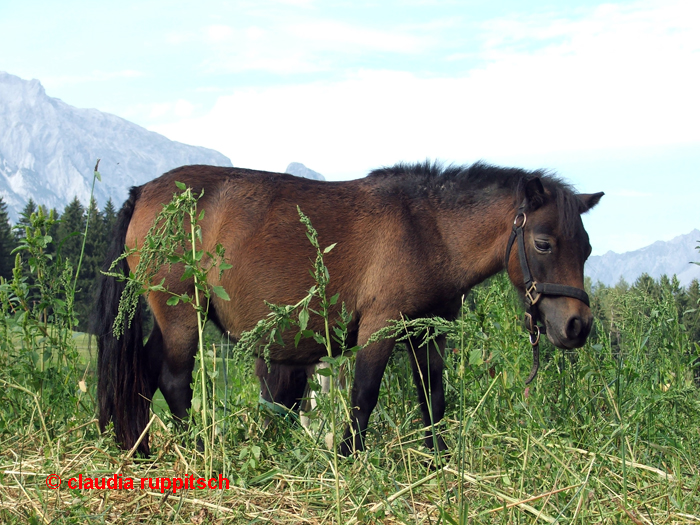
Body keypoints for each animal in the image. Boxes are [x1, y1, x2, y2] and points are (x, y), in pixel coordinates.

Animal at [95, 163, 604, 454]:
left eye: (587, 248)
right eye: (543, 243)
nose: (577, 326)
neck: (428, 228)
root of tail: (143, 192)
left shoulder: (427, 332)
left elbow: (433, 397)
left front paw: (437, 460)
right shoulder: (380, 327)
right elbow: (364, 396)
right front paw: (348, 456)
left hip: (173, 319)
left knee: (146, 372)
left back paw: (141, 449)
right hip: (183, 315)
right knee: (173, 379)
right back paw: (198, 450)